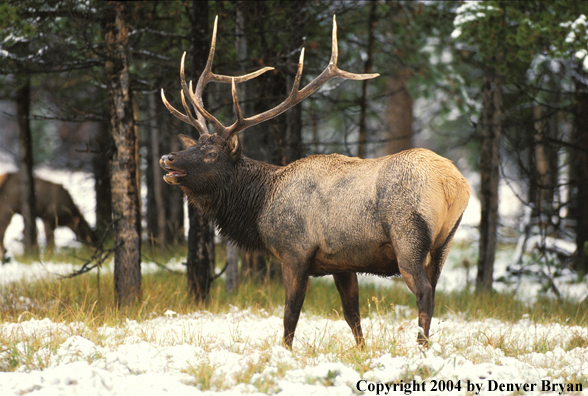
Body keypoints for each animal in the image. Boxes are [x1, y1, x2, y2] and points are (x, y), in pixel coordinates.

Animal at [160, 16, 468, 350]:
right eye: (194, 145)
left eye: (211, 153)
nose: (168, 157)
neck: (260, 206)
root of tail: (453, 184)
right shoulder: (342, 263)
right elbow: (352, 313)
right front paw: (361, 351)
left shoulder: (295, 252)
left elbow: (290, 313)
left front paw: (285, 351)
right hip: (443, 244)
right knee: (432, 290)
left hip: (408, 237)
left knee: (423, 292)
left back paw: (421, 348)